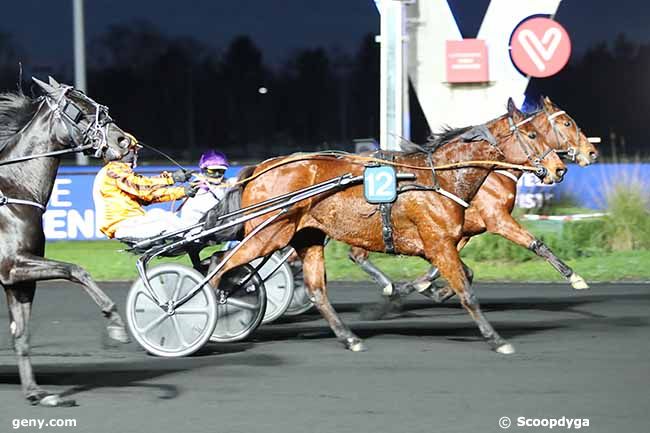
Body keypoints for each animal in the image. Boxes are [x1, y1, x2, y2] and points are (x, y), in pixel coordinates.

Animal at [0, 77, 132, 404]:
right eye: (78, 110)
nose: (124, 141)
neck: (13, 191)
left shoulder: (17, 280)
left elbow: (21, 334)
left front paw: (35, 391)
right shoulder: (12, 265)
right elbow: (76, 270)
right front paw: (115, 323)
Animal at [205, 101, 564, 354]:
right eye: (532, 135)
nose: (558, 167)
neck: (439, 177)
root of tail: (261, 167)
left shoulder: (437, 244)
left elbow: (463, 277)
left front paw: (423, 290)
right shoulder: (438, 243)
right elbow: (467, 291)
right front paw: (496, 339)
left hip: (307, 237)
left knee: (316, 290)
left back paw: (350, 338)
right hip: (268, 234)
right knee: (220, 264)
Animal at [352, 96, 600, 318]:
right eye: (567, 123)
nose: (592, 152)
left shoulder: (462, 230)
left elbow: (446, 268)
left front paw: (425, 287)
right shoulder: (496, 219)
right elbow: (536, 244)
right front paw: (574, 277)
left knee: (357, 254)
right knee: (358, 255)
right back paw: (389, 287)